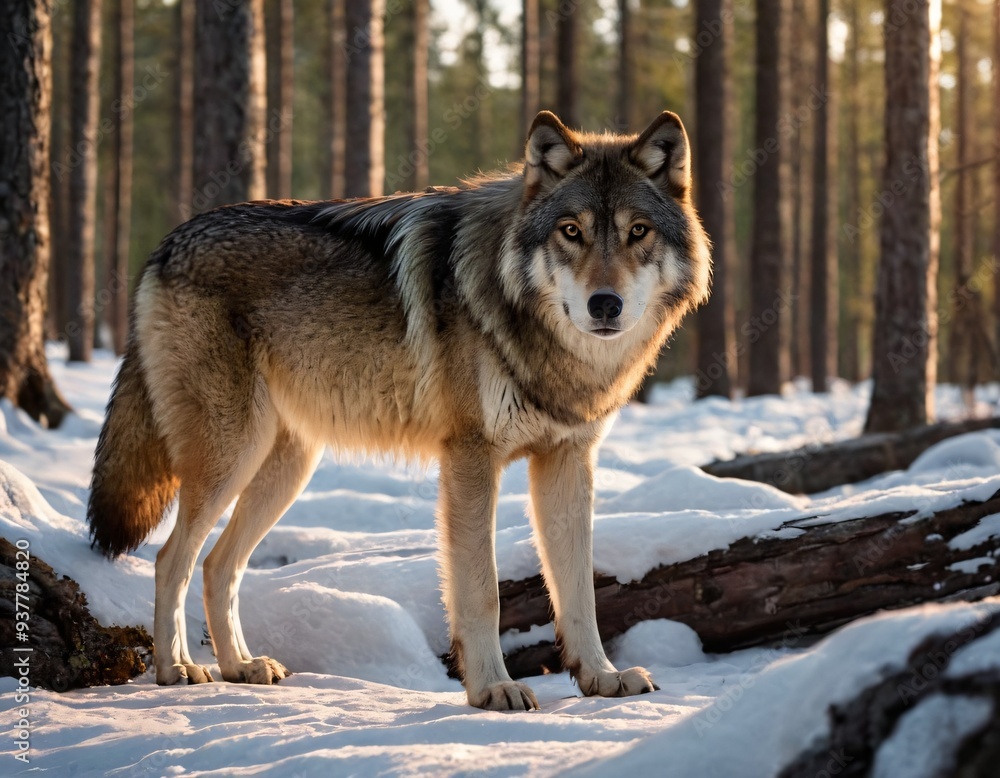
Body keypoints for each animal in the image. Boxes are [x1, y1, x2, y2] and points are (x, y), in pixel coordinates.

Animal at [87, 111, 711, 710]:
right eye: (572, 231)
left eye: (637, 231)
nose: (605, 305)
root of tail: (168, 243)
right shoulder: (470, 459)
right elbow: (482, 590)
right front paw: (491, 690)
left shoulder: (567, 460)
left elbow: (579, 589)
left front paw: (600, 677)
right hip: (231, 455)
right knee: (171, 558)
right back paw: (177, 670)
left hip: (285, 468)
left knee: (220, 563)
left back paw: (240, 667)